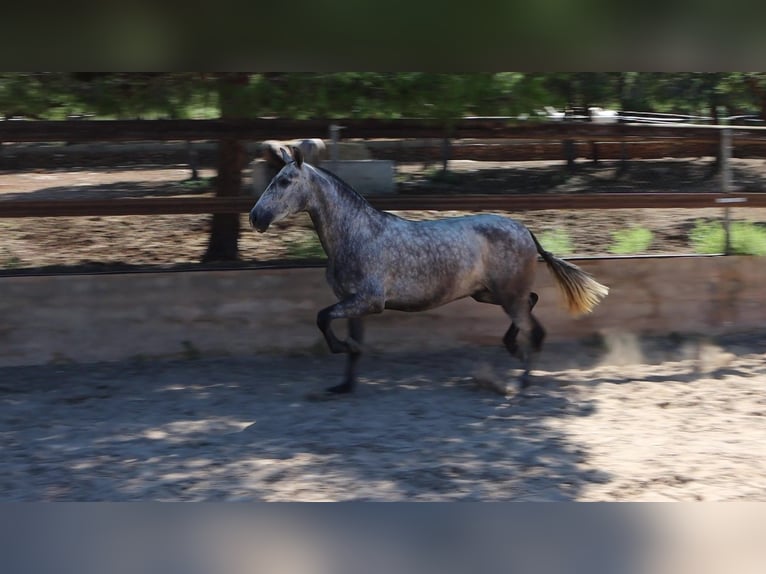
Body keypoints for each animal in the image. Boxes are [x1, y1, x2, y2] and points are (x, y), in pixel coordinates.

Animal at [249, 146, 608, 396]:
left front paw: (344, 350)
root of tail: (524, 230)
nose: (255, 218)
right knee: (532, 307)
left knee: (529, 324)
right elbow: (349, 341)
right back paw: (514, 352)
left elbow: (323, 319)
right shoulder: (355, 303)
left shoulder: (368, 301)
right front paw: (344, 385)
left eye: (284, 181)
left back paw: (521, 381)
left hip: (506, 294)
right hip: (488, 293)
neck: (358, 234)